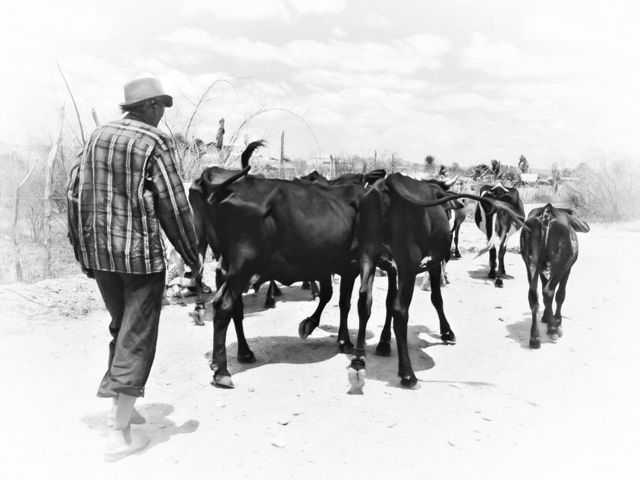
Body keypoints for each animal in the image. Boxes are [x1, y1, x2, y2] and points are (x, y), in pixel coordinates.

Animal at [189, 145, 396, 388]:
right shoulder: (351, 267)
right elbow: (344, 302)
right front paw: (341, 339)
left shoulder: (329, 264)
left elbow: (333, 298)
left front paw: (324, 330)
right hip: (242, 267)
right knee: (223, 306)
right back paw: (222, 370)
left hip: (226, 267)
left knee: (234, 307)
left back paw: (243, 352)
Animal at [348, 173, 526, 391]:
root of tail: (386, 185)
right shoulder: (433, 262)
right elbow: (436, 298)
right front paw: (447, 332)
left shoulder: (391, 269)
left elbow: (389, 302)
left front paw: (384, 342)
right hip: (408, 262)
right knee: (400, 310)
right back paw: (408, 374)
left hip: (368, 255)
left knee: (364, 300)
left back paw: (358, 361)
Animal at [520, 203, 590, 348]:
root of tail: (547, 211)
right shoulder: (567, 269)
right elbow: (560, 295)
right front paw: (557, 319)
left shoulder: (542, 269)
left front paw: (546, 317)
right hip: (560, 264)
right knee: (549, 292)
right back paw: (554, 328)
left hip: (530, 262)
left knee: (534, 296)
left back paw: (535, 337)